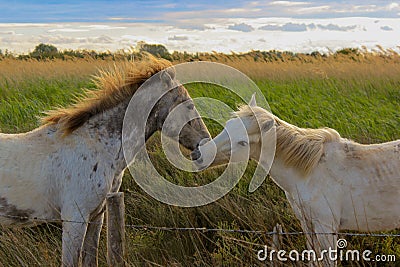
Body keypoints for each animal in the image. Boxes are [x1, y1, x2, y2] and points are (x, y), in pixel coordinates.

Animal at [0, 57, 211, 266]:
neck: (98, 147)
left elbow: (89, 259)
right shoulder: (75, 219)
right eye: (189, 106)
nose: (206, 147)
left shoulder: (97, 217)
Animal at [192, 94, 398, 266]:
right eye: (227, 125)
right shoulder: (307, 224)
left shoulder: (326, 227)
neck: (311, 172)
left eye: (243, 142)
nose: (199, 154)